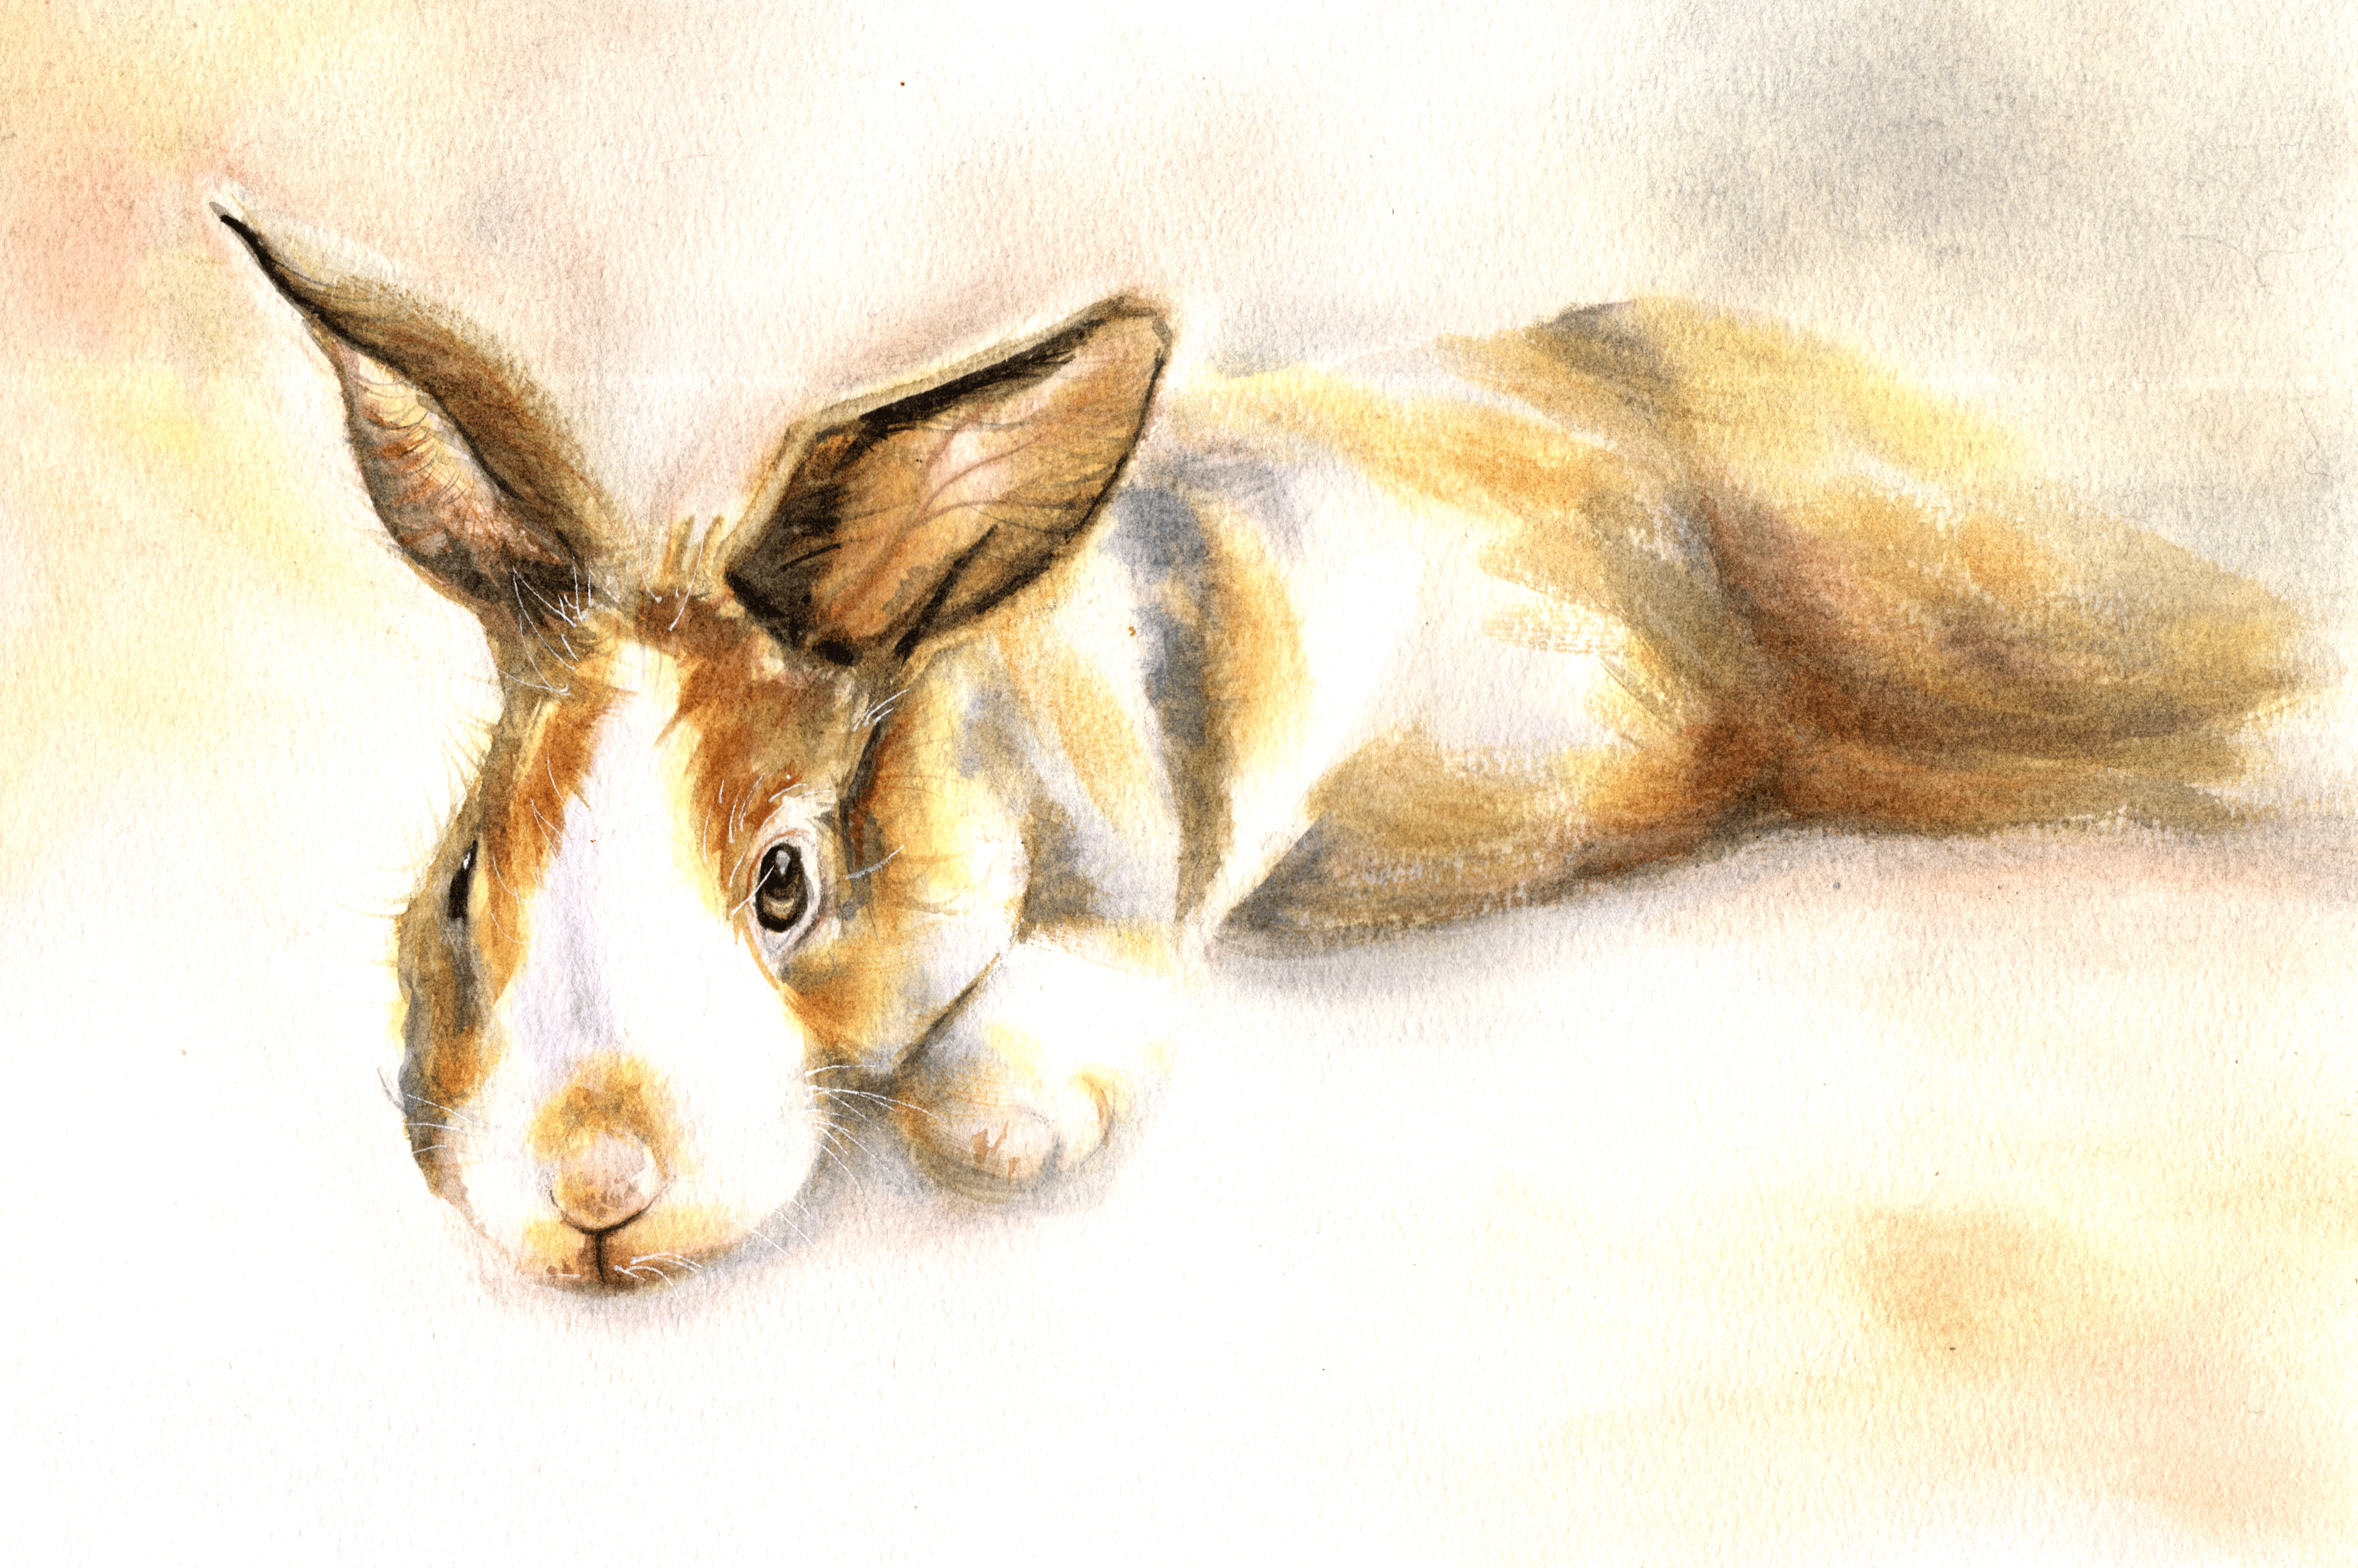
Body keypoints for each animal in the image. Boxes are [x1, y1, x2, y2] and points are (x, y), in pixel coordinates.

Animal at [220, 205, 2302, 1292]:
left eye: (786, 883)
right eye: (465, 879)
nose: (589, 1190)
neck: (958, 687)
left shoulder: (1128, 865)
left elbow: (1058, 1002)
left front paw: (1001, 1116)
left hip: (1944, 604)